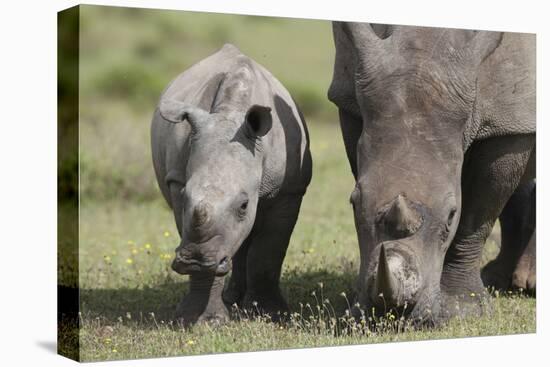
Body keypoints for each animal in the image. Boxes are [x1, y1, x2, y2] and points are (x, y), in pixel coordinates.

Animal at [151, 44, 312, 326]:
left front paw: (271, 313)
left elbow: (268, 251)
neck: (229, 114)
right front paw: (203, 321)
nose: (195, 260)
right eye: (184, 194)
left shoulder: (289, 189)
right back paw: (233, 299)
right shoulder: (177, 180)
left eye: (244, 205)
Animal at [330, 21, 536, 324]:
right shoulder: (350, 100)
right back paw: (497, 280)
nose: (393, 313)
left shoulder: (510, 121)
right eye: (353, 204)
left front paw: (464, 309)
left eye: (451, 214)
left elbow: (477, 217)